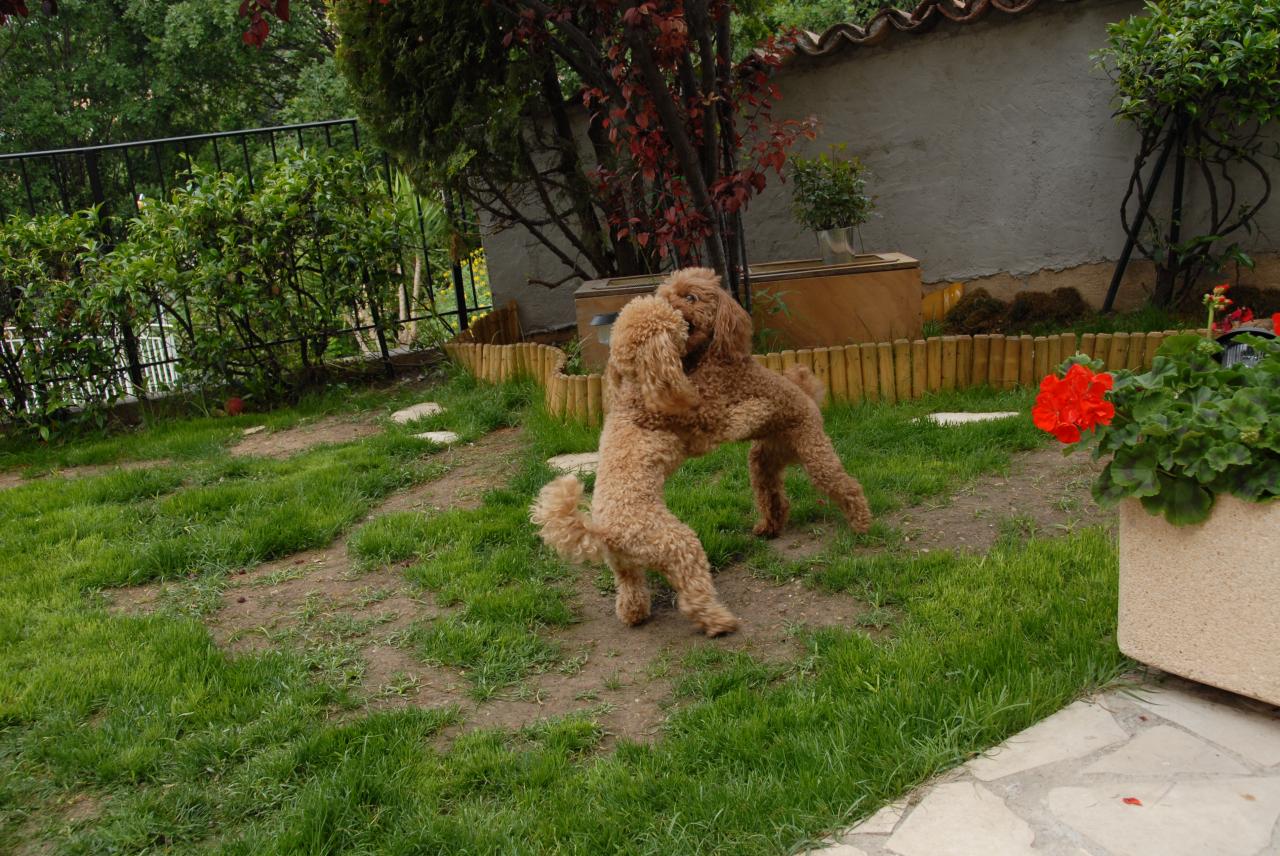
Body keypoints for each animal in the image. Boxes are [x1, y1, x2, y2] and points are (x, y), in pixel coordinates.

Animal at [529, 267, 870, 634]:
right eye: (668, 298)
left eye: (689, 298)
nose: (675, 308)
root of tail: (603, 532)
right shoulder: (707, 419)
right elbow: (734, 416)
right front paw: (756, 408)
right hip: (693, 527)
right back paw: (723, 616)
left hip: (787, 452)